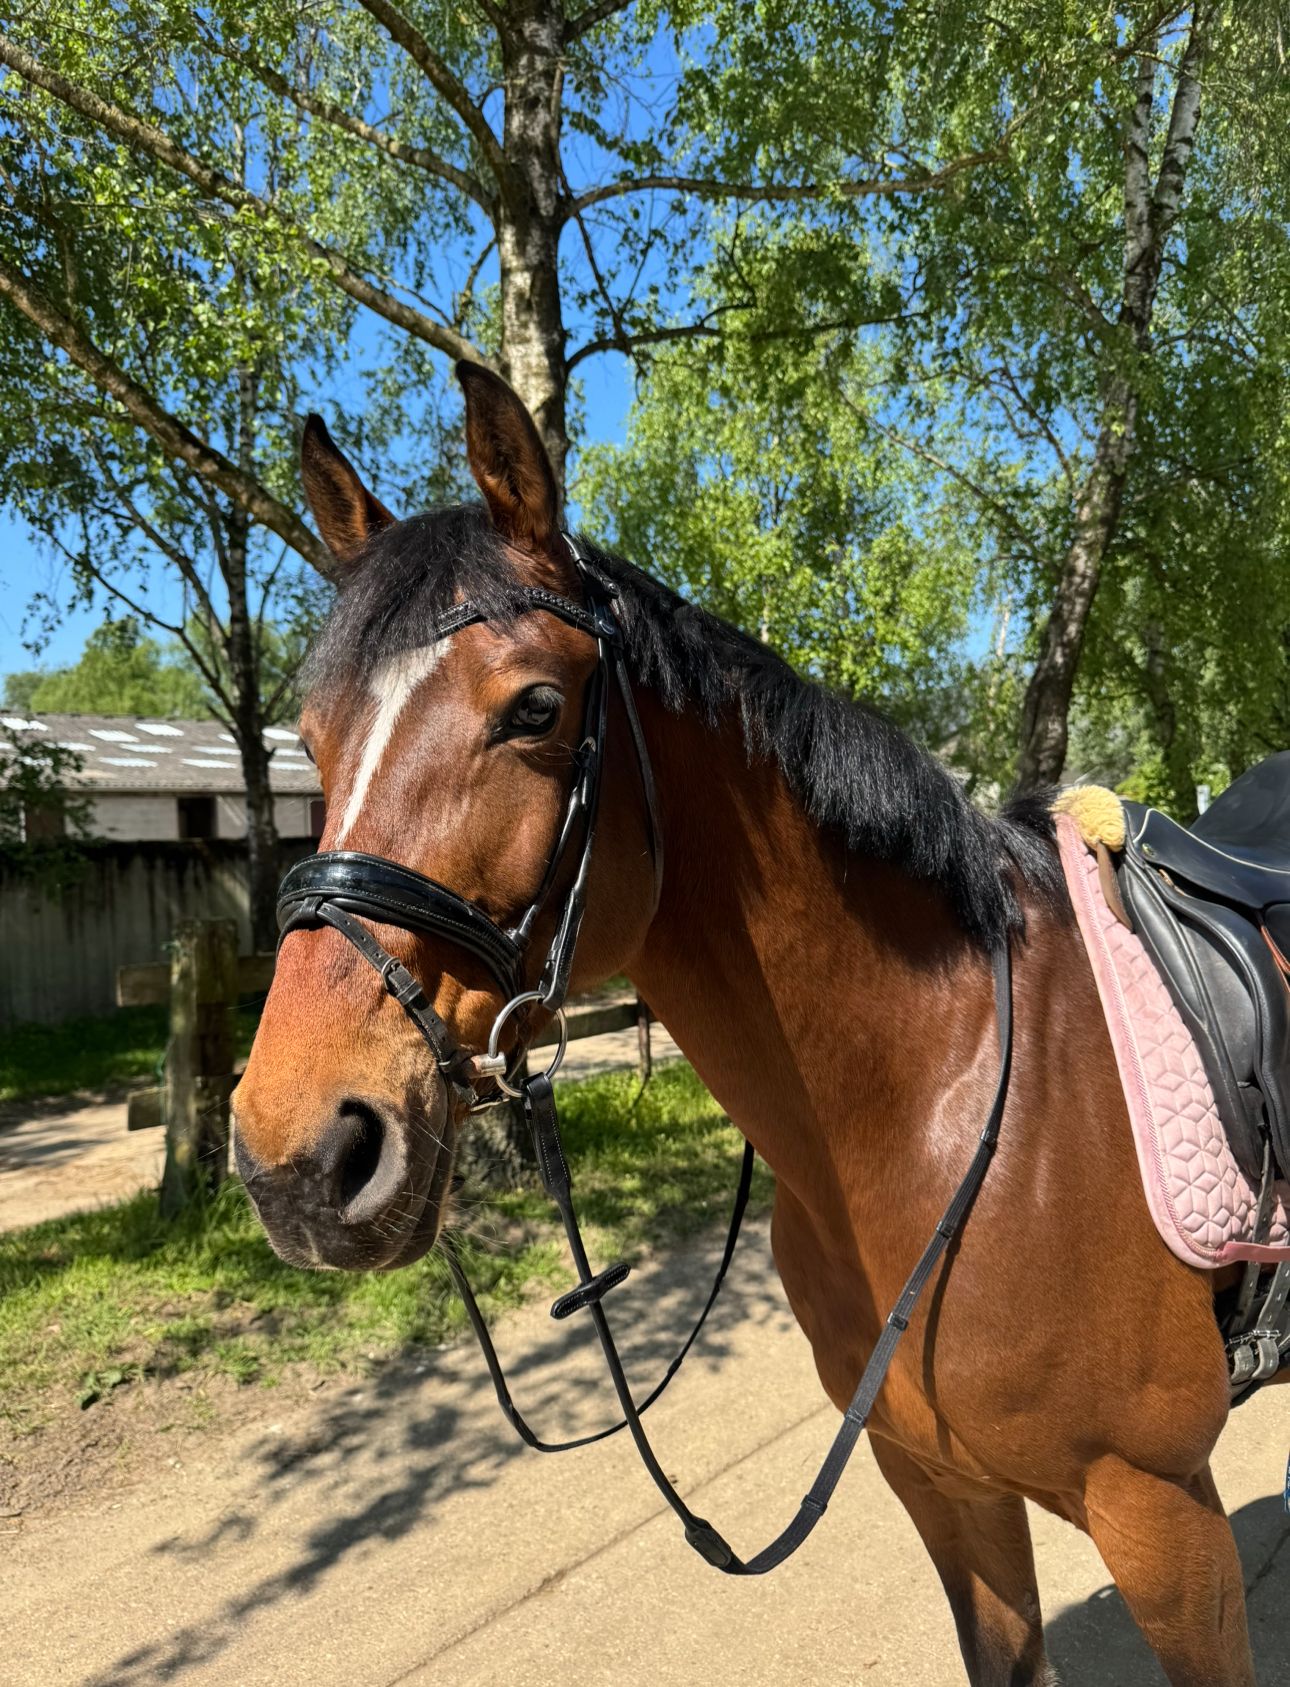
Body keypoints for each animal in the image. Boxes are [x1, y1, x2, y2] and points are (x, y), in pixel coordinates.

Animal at [232, 361, 1267, 1686]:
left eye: (534, 708)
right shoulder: (942, 1487)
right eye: (312, 741)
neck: (945, 1107)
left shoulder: (1162, 1512)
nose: (298, 1156)